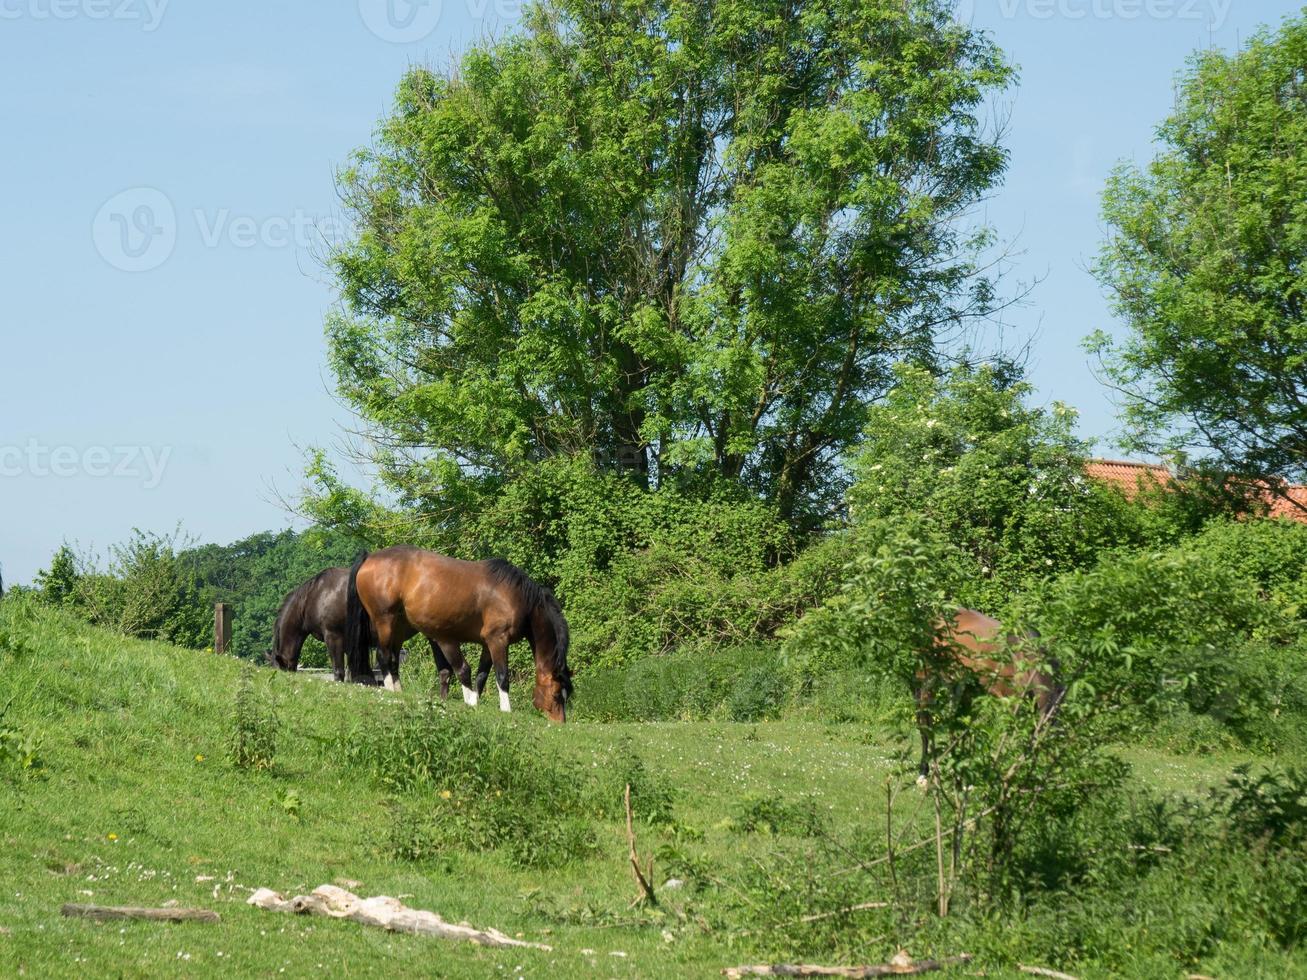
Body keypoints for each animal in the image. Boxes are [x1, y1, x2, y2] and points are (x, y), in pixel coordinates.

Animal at [342, 548, 572, 726]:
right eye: (556, 694)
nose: (560, 723)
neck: (517, 597)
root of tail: (369, 557)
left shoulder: (487, 644)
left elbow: (481, 676)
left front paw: (474, 703)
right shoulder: (498, 640)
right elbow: (501, 676)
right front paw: (505, 709)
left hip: (399, 628)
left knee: (392, 659)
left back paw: (399, 689)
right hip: (385, 621)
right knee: (382, 656)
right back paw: (391, 690)